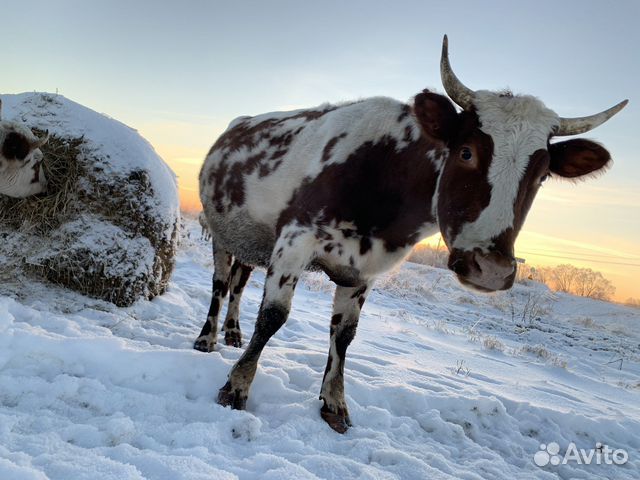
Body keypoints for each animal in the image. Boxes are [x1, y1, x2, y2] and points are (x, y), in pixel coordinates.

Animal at [194, 35, 624, 434]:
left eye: (542, 174)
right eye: (466, 152)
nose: (490, 268)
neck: (385, 180)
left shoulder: (364, 269)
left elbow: (344, 334)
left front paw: (334, 404)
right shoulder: (295, 241)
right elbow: (273, 315)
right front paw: (236, 387)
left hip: (251, 240)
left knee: (238, 283)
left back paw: (233, 332)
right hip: (221, 231)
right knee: (221, 283)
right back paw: (208, 337)